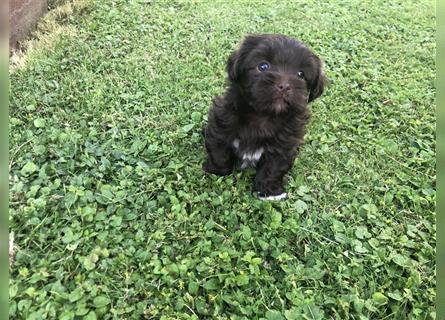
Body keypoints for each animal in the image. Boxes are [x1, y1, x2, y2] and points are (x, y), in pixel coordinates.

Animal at [203, 35, 324, 200]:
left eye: (301, 74)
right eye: (263, 66)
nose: (284, 85)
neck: (264, 115)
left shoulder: (284, 145)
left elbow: (273, 168)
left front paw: (268, 191)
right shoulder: (221, 125)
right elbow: (219, 152)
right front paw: (216, 171)